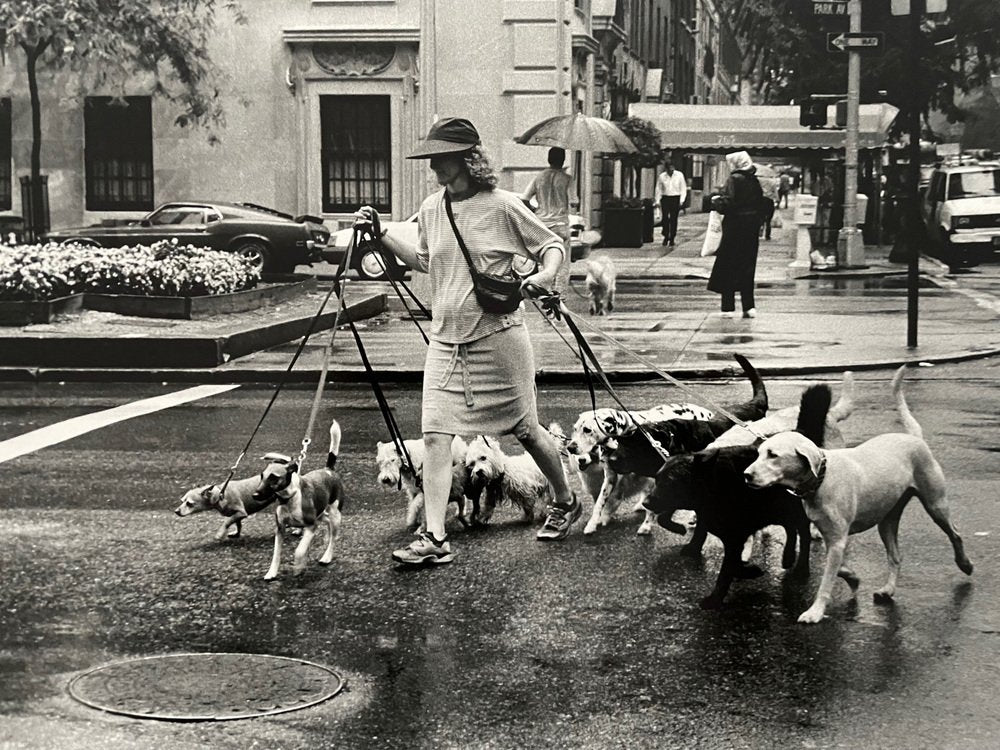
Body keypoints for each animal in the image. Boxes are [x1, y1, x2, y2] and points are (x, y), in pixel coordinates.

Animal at [640, 384, 828, 608]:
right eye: (657, 479)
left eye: (670, 482)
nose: (645, 502)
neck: (715, 486)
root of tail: (800, 435)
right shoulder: (735, 536)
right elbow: (734, 564)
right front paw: (749, 571)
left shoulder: (735, 537)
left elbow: (727, 569)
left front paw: (714, 598)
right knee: (790, 528)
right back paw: (788, 556)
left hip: (792, 510)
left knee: (803, 534)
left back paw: (800, 568)